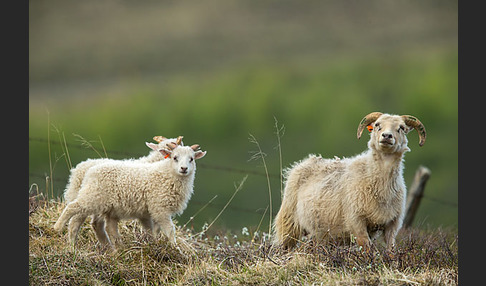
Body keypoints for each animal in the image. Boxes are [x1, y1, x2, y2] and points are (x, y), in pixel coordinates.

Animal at [54, 139, 204, 248]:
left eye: (191, 159)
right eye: (174, 157)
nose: (184, 168)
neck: (165, 172)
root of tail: (87, 171)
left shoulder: (149, 212)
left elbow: (152, 230)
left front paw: (153, 243)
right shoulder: (160, 208)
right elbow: (170, 230)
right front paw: (175, 248)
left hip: (103, 204)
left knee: (100, 225)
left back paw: (112, 249)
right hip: (92, 196)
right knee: (73, 211)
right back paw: (60, 230)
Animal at [272, 111, 428, 250]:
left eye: (401, 128)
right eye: (377, 125)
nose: (387, 136)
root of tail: (305, 161)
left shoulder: (392, 224)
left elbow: (391, 250)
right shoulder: (355, 221)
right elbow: (367, 247)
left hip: (319, 233)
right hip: (289, 224)